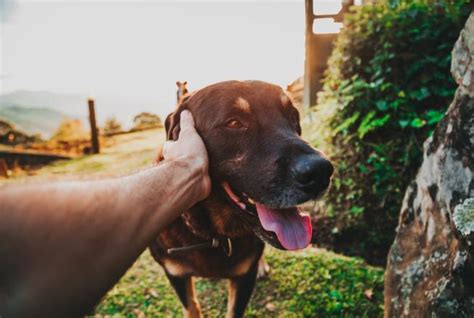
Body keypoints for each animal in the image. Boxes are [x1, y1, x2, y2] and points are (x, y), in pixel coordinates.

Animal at [149, 80, 334, 318]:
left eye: (293, 117)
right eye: (234, 123)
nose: (321, 172)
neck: (214, 235)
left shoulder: (244, 277)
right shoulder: (176, 274)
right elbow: (191, 307)